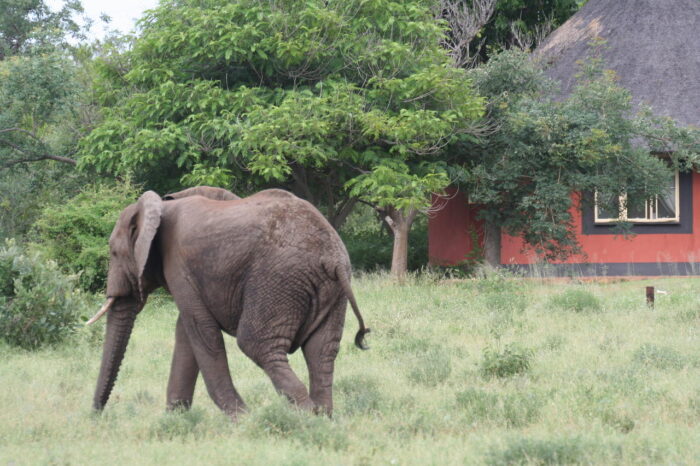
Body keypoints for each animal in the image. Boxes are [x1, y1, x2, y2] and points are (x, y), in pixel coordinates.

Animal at [87, 186, 370, 418]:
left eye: (114, 252)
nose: (96, 415)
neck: (162, 205)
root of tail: (332, 257)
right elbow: (186, 333)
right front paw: (175, 419)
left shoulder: (178, 263)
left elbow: (201, 331)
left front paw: (240, 420)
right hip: (330, 289)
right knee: (321, 350)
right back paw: (323, 418)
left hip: (278, 279)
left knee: (257, 344)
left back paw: (305, 418)